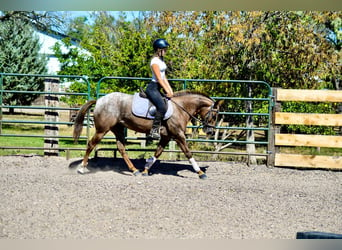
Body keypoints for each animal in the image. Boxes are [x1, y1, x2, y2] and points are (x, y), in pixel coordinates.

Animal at [73, 91, 223, 179]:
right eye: (214, 115)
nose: (210, 132)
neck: (180, 108)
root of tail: (99, 101)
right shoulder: (178, 135)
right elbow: (188, 153)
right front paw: (200, 172)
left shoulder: (166, 137)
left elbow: (158, 152)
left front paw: (145, 170)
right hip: (102, 129)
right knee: (91, 144)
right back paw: (82, 168)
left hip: (118, 129)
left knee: (121, 148)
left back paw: (134, 170)